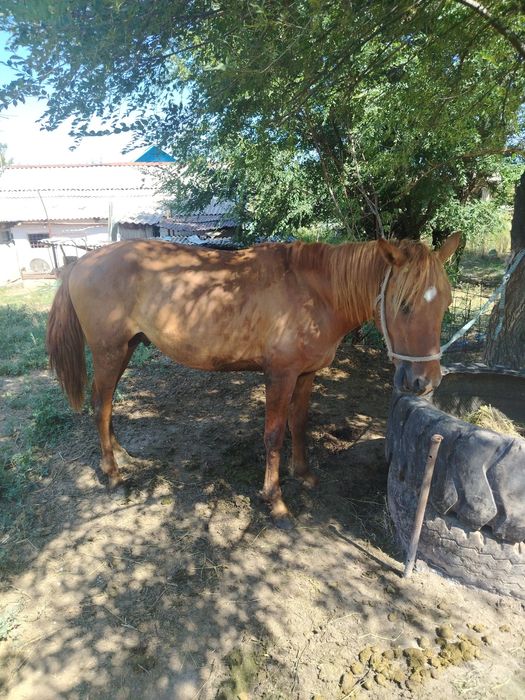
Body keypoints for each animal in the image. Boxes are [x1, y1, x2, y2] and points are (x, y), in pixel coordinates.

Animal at [46, 232, 460, 528]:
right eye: (404, 305)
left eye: (446, 303)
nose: (425, 381)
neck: (315, 292)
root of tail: (81, 263)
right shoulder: (279, 376)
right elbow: (274, 434)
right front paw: (274, 500)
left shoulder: (305, 374)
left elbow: (299, 423)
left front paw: (303, 474)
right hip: (109, 352)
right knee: (100, 406)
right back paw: (113, 475)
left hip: (127, 348)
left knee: (107, 406)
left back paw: (122, 455)